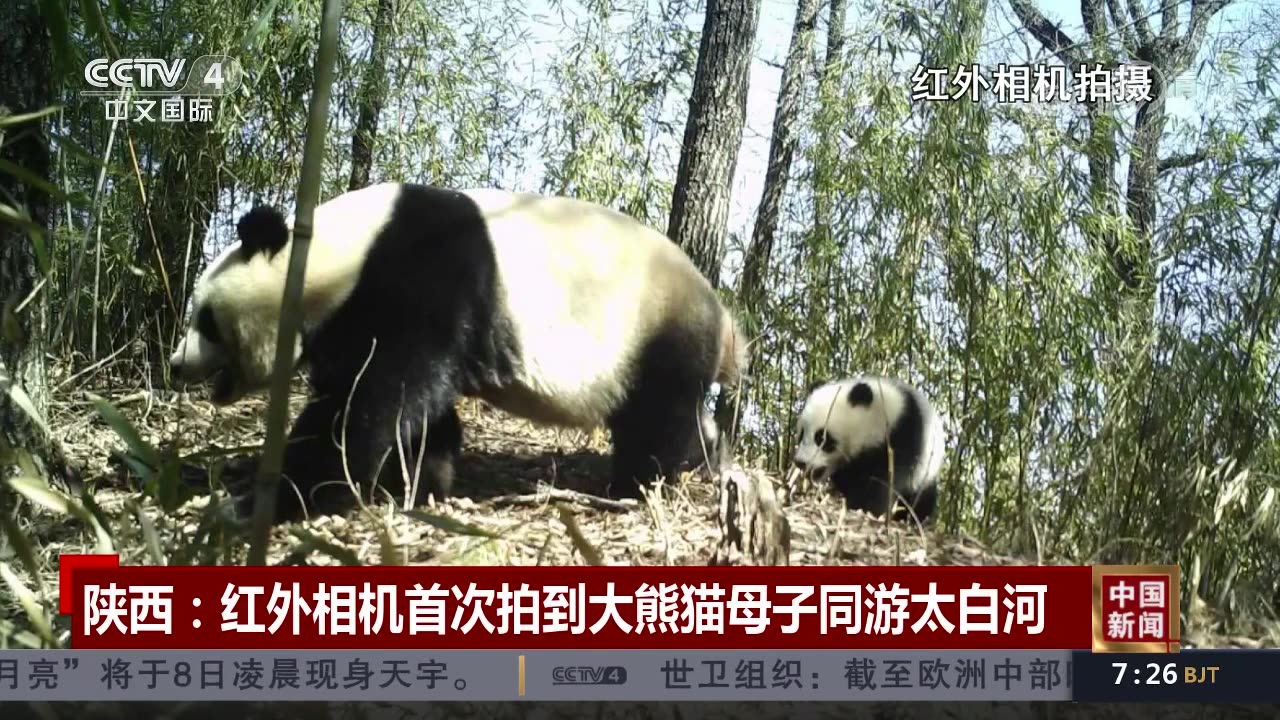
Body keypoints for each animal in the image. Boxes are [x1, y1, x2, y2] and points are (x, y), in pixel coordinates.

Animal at [170, 181, 747, 520]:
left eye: (206, 319)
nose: (176, 365)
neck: (339, 254)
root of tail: (726, 322)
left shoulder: (422, 278)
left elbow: (369, 400)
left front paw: (272, 498)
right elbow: (416, 406)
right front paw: (424, 481)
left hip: (654, 330)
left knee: (657, 418)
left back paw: (635, 486)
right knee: (678, 417)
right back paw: (711, 460)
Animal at [783, 376, 947, 520]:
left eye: (822, 438)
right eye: (801, 434)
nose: (800, 462)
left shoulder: (901, 436)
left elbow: (884, 481)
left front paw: (867, 508)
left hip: (926, 473)